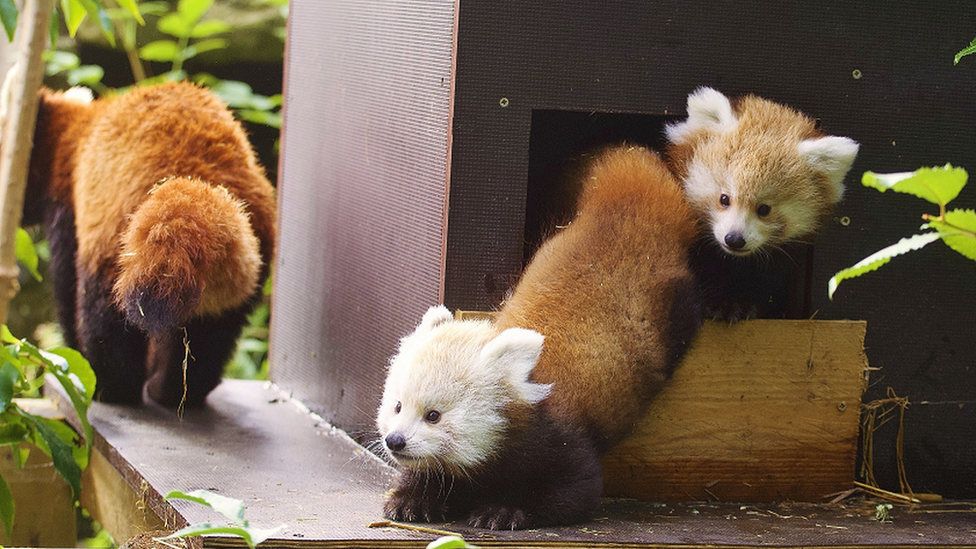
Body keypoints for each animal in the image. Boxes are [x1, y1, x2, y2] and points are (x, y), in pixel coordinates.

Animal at [23, 82, 274, 406]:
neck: (71, 135)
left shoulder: (69, 208)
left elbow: (67, 290)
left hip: (120, 234)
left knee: (106, 313)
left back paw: (112, 387)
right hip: (246, 260)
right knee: (211, 335)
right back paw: (174, 391)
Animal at [376, 144, 700, 528]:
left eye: (433, 415)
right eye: (397, 406)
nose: (394, 440)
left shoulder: (562, 440)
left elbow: (574, 491)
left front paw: (503, 509)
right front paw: (412, 498)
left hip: (673, 302)